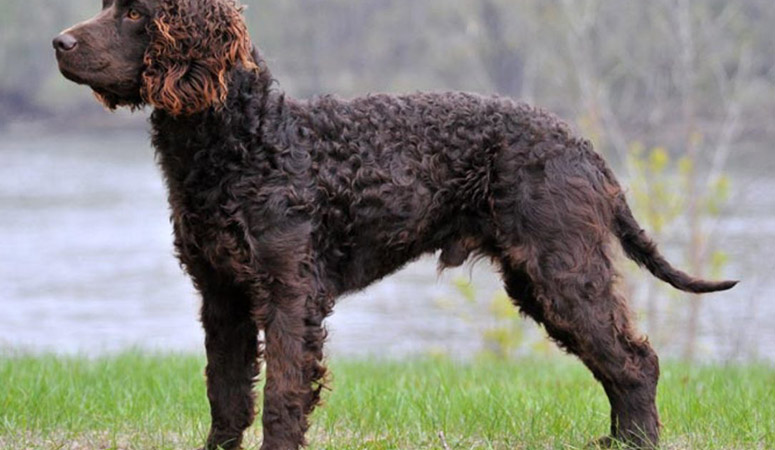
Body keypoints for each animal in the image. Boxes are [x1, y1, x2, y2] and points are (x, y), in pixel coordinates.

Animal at [53, 1, 732, 448]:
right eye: (110, 6)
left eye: (136, 14)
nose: (59, 42)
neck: (246, 140)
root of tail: (582, 145)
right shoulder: (221, 295)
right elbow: (227, 397)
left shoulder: (289, 292)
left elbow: (281, 398)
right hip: (539, 277)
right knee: (618, 364)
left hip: (561, 267)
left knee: (635, 362)